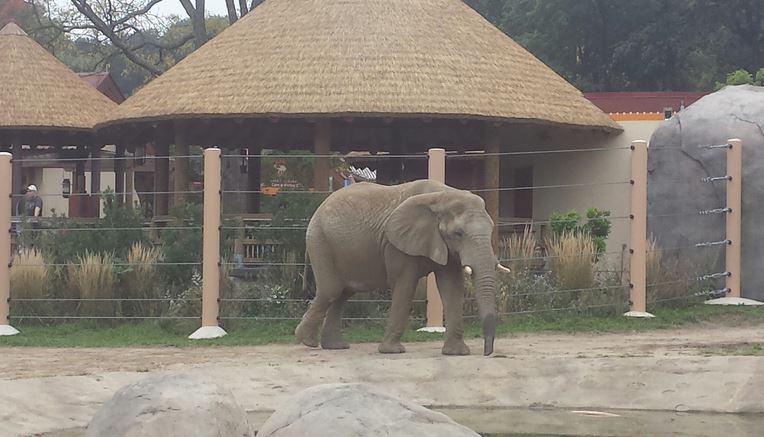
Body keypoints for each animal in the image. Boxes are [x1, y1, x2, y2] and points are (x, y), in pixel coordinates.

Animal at [295, 180, 509, 356]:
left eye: (491, 228)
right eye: (458, 233)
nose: (487, 353)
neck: (444, 195)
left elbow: (452, 287)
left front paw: (457, 353)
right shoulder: (396, 244)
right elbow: (405, 285)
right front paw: (393, 351)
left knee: (343, 293)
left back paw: (335, 346)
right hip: (320, 242)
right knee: (331, 290)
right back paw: (307, 341)